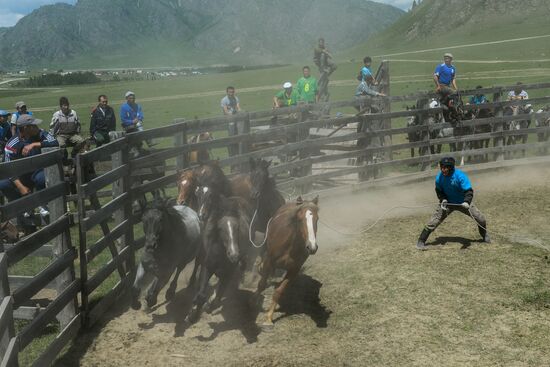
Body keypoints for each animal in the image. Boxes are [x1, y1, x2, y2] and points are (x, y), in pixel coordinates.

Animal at [185, 193, 254, 324]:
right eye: (220, 229)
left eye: (237, 228)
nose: (234, 255)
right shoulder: (207, 267)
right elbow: (201, 293)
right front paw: (192, 314)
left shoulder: (228, 273)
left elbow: (218, 296)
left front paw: (208, 306)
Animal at [252, 197, 322, 326]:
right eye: (299, 219)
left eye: (317, 219)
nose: (312, 247)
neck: (290, 246)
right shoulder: (269, 261)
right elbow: (262, 284)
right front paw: (253, 301)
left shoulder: (294, 270)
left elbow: (279, 291)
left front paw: (269, 318)